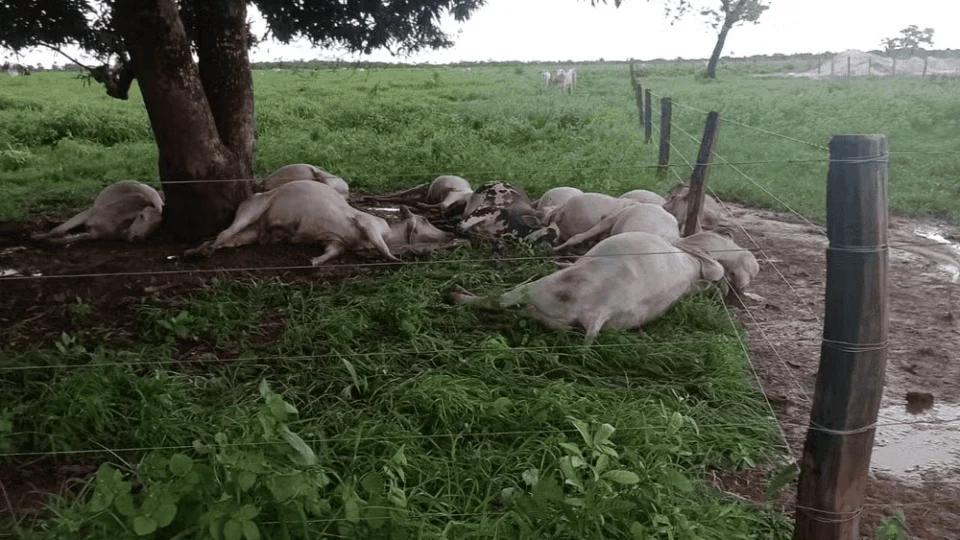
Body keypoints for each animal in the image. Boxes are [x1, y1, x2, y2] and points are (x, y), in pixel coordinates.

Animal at [31, 181, 163, 245]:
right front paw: (37, 237)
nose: (138, 238)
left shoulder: (95, 234)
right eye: (141, 216)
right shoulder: (87, 215)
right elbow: (58, 231)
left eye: (156, 226)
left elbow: (72, 238)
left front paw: (51, 241)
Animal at [184, 180, 457, 266]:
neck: (392, 233)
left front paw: (313, 261)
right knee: (224, 233)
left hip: (248, 234)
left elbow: (331, 253)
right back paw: (200, 252)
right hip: (252, 211)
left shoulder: (335, 242)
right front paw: (395, 259)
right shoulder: (367, 223)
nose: (451, 235)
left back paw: (196, 251)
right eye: (424, 220)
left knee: (225, 239)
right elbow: (382, 247)